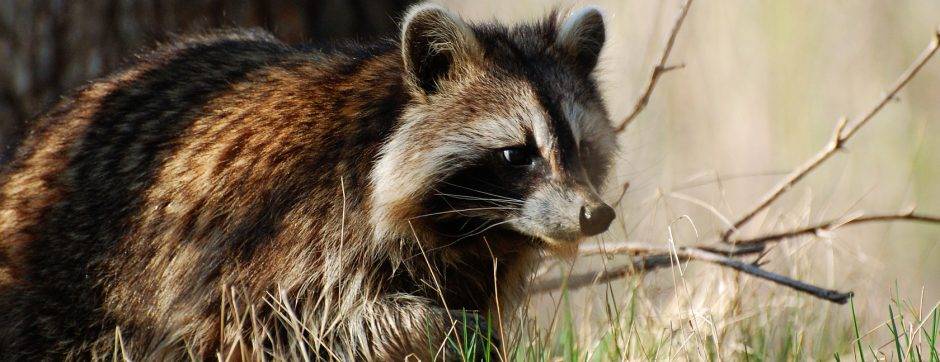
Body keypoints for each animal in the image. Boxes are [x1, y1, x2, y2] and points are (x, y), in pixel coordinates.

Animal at [0, 2, 616, 360]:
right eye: (517, 154)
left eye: (581, 150)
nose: (596, 214)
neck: (470, 229)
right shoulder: (284, 236)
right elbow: (287, 324)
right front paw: (433, 326)